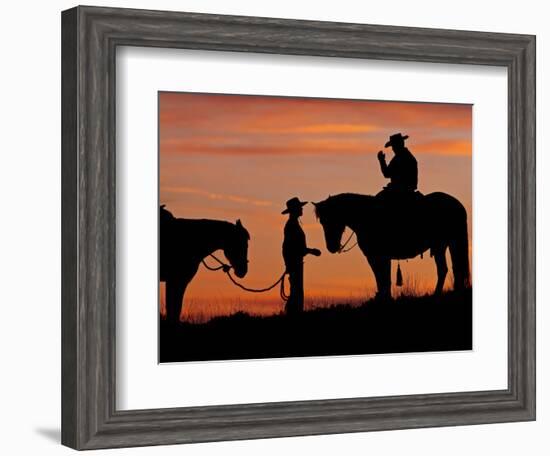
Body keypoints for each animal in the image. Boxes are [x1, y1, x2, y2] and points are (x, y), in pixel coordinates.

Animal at [314, 192, 470, 300]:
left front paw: (384, 298)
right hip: (447, 244)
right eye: (322, 221)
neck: (366, 216)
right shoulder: (379, 257)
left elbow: (382, 278)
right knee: (454, 268)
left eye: (332, 219)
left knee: (445, 269)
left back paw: (437, 294)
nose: (331, 247)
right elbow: (382, 277)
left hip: (442, 245)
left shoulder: (377, 256)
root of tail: (457, 204)